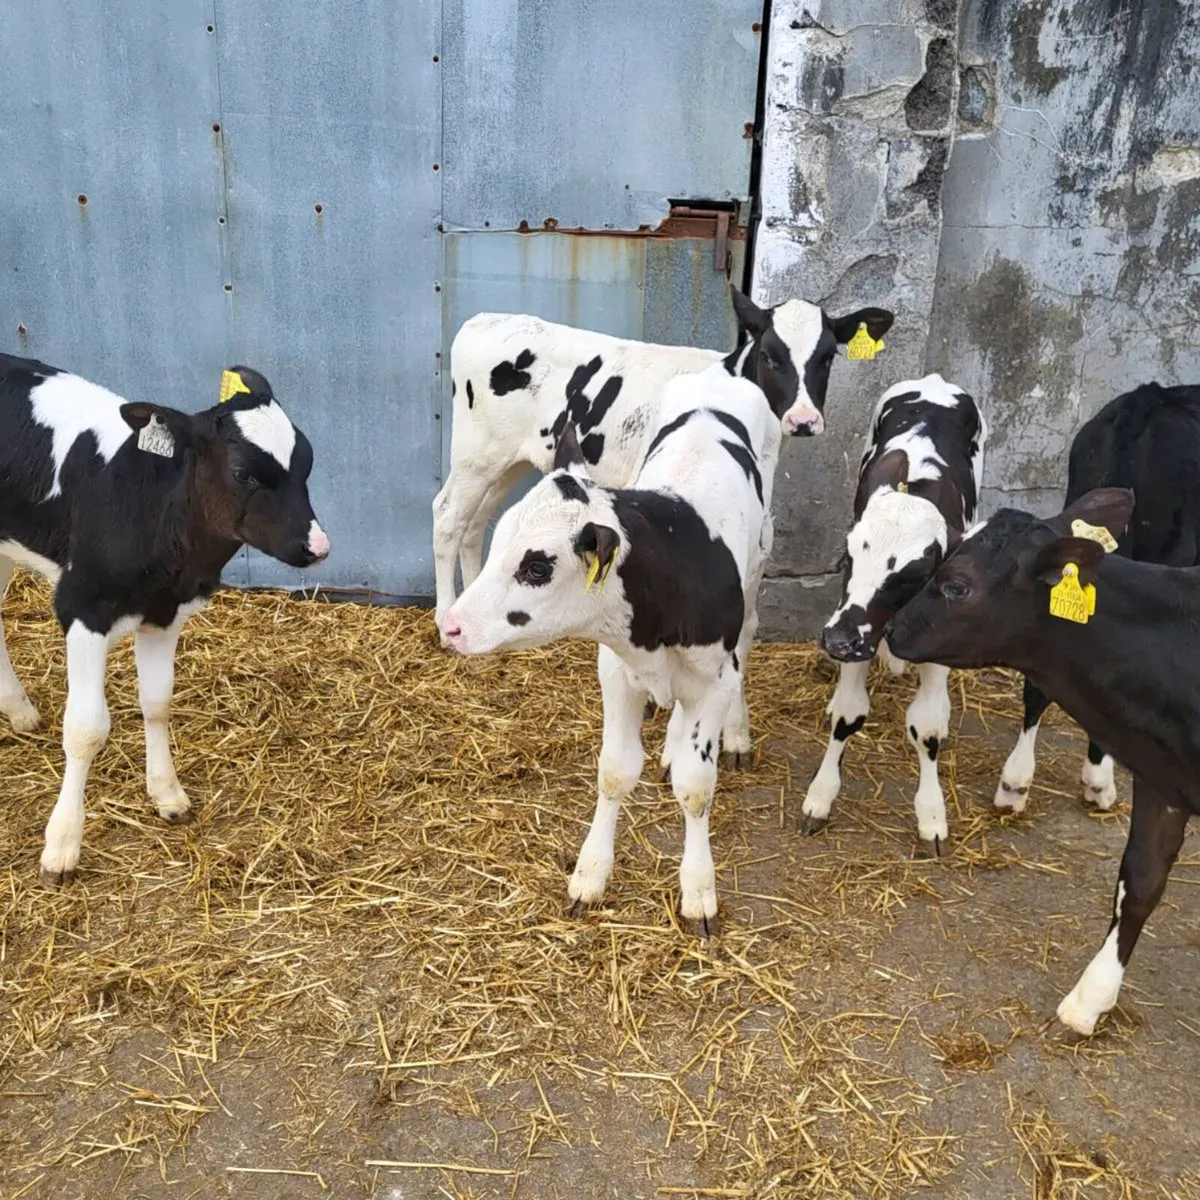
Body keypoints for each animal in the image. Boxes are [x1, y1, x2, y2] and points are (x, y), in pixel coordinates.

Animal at [0, 355, 328, 884]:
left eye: (308, 461)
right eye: (243, 473)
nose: (317, 547)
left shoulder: (166, 612)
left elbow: (156, 703)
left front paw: (167, 793)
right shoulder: (82, 606)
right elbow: (86, 728)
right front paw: (62, 845)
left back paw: (18, 709)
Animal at [432, 286, 894, 634]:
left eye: (827, 357)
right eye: (770, 355)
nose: (803, 420)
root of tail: (485, 320)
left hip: (508, 460)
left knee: (476, 523)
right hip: (476, 454)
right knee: (448, 516)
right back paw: (443, 616)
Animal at [439, 364, 781, 937]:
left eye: (537, 566)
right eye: (500, 536)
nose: (454, 625)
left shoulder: (711, 682)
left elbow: (695, 785)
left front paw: (699, 890)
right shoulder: (617, 671)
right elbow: (615, 771)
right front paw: (590, 874)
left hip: (758, 569)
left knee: (749, 633)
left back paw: (733, 732)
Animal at [802, 375, 986, 853]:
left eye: (914, 575)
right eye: (849, 557)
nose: (838, 641)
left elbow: (928, 727)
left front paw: (932, 815)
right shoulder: (854, 624)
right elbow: (849, 714)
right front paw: (820, 797)